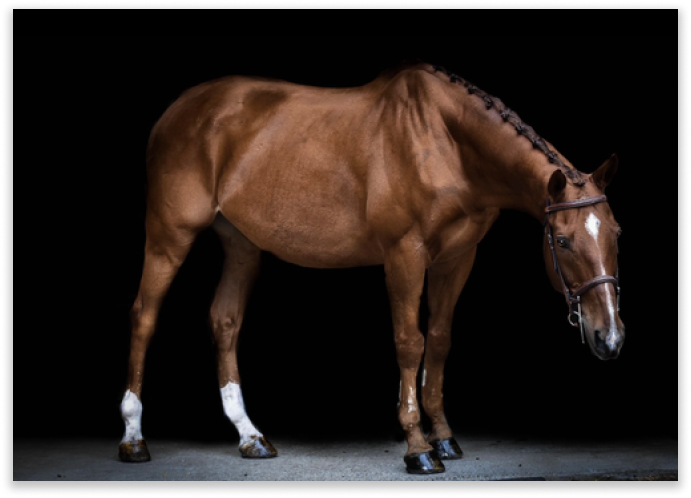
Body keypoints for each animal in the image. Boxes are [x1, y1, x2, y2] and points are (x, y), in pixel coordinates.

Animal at [118, 62, 624, 474]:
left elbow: (439, 341)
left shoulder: (458, 258)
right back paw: (133, 439)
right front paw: (418, 447)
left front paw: (444, 438)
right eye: (562, 241)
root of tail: (178, 109)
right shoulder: (405, 255)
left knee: (224, 322)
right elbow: (409, 343)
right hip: (169, 235)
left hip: (241, 244)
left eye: (616, 233)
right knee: (144, 317)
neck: (446, 144)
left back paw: (250, 436)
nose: (610, 338)